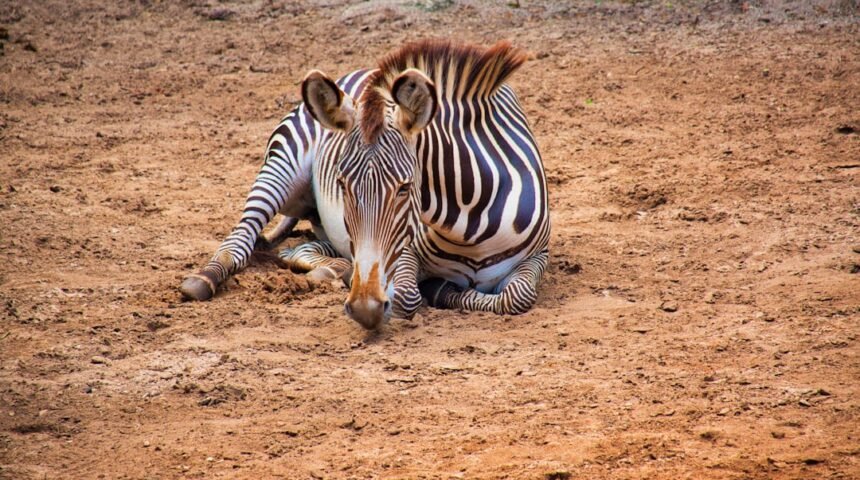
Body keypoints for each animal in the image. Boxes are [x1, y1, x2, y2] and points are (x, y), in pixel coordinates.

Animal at [180, 40, 550, 330]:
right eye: (342, 185)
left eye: (405, 188)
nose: (363, 307)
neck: (468, 230)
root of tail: (362, 70)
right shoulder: (404, 254)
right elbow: (407, 296)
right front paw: (437, 290)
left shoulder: (538, 256)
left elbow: (518, 296)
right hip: (282, 164)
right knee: (241, 239)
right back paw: (203, 278)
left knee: (301, 249)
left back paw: (333, 270)